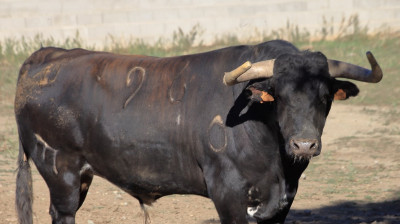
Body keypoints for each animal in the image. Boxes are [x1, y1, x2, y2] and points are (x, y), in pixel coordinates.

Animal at [13, 40, 382, 224]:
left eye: (324, 97)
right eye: (280, 96)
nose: (304, 145)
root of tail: (47, 55)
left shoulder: (282, 201)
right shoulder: (228, 194)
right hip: (60, 170)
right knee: (63, 214)